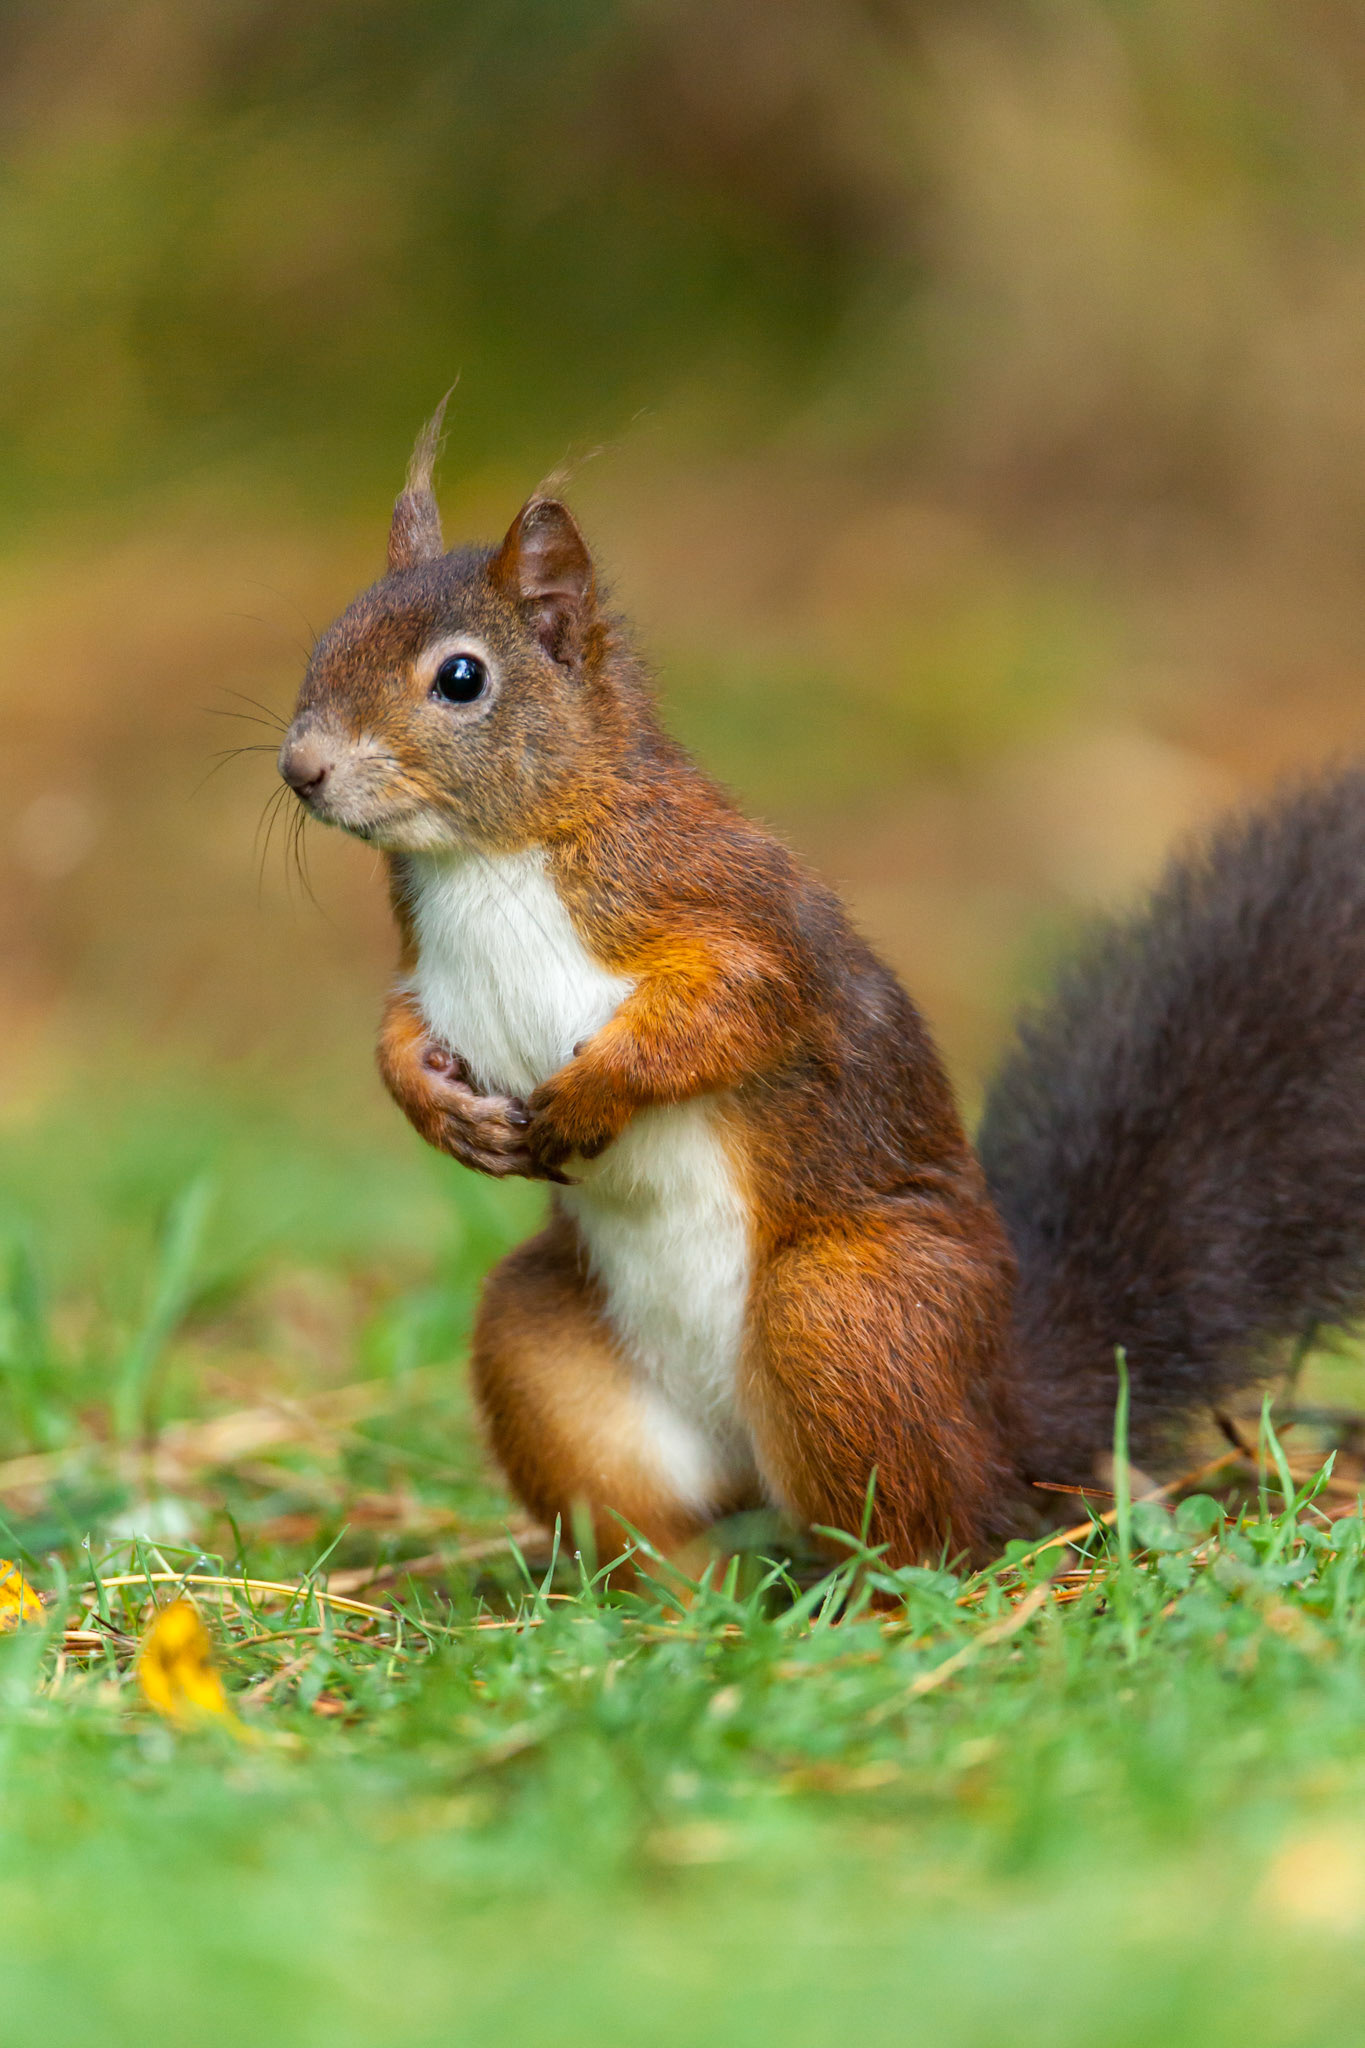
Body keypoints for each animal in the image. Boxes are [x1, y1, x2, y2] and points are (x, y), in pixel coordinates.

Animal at [278, 405, 1365, 1568]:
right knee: (649, 1519)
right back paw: (676, 1592)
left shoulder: (726, 902)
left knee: (934, 1536)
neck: (485, 859)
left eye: (461, 679)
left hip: (843, 1315)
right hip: (541, 1338)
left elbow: (739, 1007)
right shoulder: (426, 968)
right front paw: (436, 1109)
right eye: (325, 641)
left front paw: (592, 1093)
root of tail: (1006, 1417)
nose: (302, 768)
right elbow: (396, 1032)